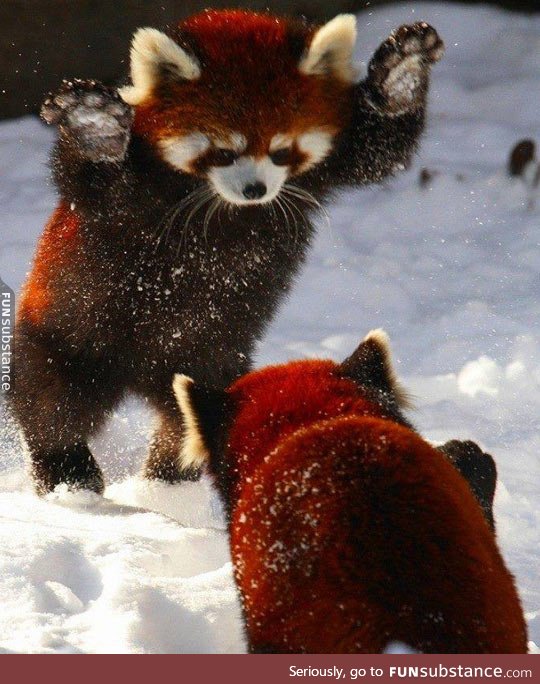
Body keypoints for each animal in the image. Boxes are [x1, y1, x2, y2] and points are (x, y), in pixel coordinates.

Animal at [10, 8, 446, 494]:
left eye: (280, 151)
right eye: (223, 152)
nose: (255, 190)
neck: (224, 205)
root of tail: (141, 375)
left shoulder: (332, 162)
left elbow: (382, 150)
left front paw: (400, 73)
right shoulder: (126, 197)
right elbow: (89, 181)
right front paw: (96, 128)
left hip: (214, 360)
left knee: (189, 419)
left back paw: (169, 481)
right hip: (71, 335)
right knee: (52, 402)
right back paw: (69, 475)